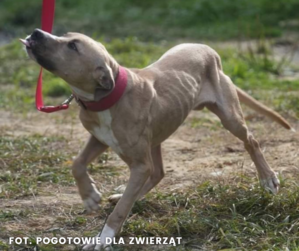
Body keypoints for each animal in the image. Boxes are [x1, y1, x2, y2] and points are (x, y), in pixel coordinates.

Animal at [21, 28, 296, 249]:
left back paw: (268, 179)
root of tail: (208, 49)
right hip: (153, 139)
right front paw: (90, 196)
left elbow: (120, 210)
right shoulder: (99, 139)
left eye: (73, 46)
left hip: (229, 117)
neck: (110, 94)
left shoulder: (138, 162)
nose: (36, 32)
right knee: (157, 173)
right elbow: (78, 164)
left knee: (251, 141)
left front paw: (104, 238)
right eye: (65, 36)